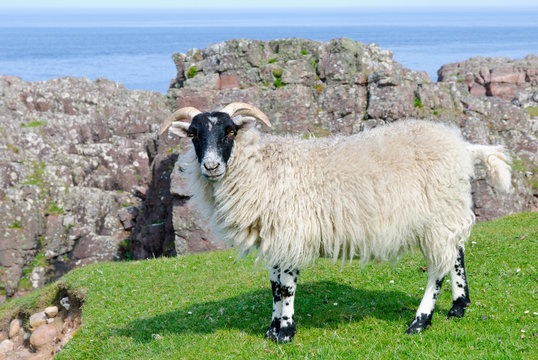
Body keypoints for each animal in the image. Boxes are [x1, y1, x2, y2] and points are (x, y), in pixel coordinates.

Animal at [158, 102, 510, 344]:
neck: (262, 167)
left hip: (437, 214)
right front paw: (272, 328)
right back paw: (459, 306)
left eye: (230, 131)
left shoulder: (293, 231)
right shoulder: (277, 235)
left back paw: (420, 321)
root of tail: (463, 147)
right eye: (193, 134)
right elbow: (273, 285)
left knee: (437, 269)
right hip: (447, 210)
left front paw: (285, 331)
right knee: (457, 254)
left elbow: (285, 286)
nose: (211, 166)